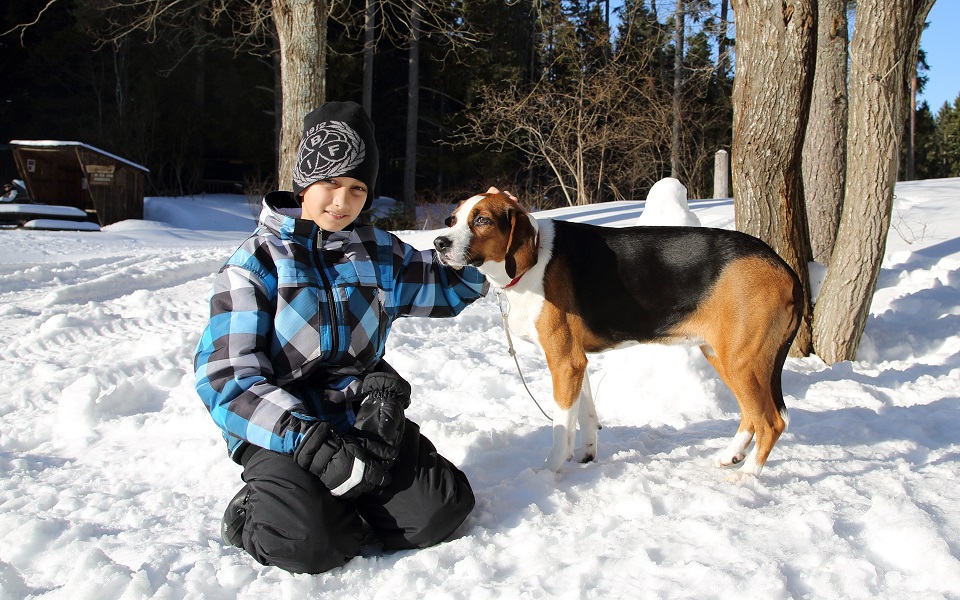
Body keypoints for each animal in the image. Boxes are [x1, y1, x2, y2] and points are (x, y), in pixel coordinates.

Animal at [436, 188, 804, 478]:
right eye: (452, 220)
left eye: (482, 220)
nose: (439, 243)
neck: (534, 258)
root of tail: (783, 266)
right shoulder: (577, 363)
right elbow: (586, 417)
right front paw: (586, 457)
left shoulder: (564, 362)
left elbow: (561, 429)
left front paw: (548, 474)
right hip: (722, 355)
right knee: (751, 416)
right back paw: (731, 455)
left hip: (742, 361)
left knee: (771, 422)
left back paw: (746, 476)